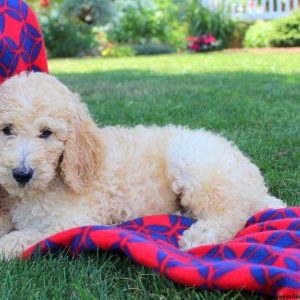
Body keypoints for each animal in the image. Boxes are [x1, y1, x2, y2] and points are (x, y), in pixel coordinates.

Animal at [0, 72, 286, 258]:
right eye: (7, 130)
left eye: (46, 133)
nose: (22, 174)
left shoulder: (74, 221)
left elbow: (33, 234)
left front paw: (7, 244)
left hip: (193, 164)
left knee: (233, 213)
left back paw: (200, 235)